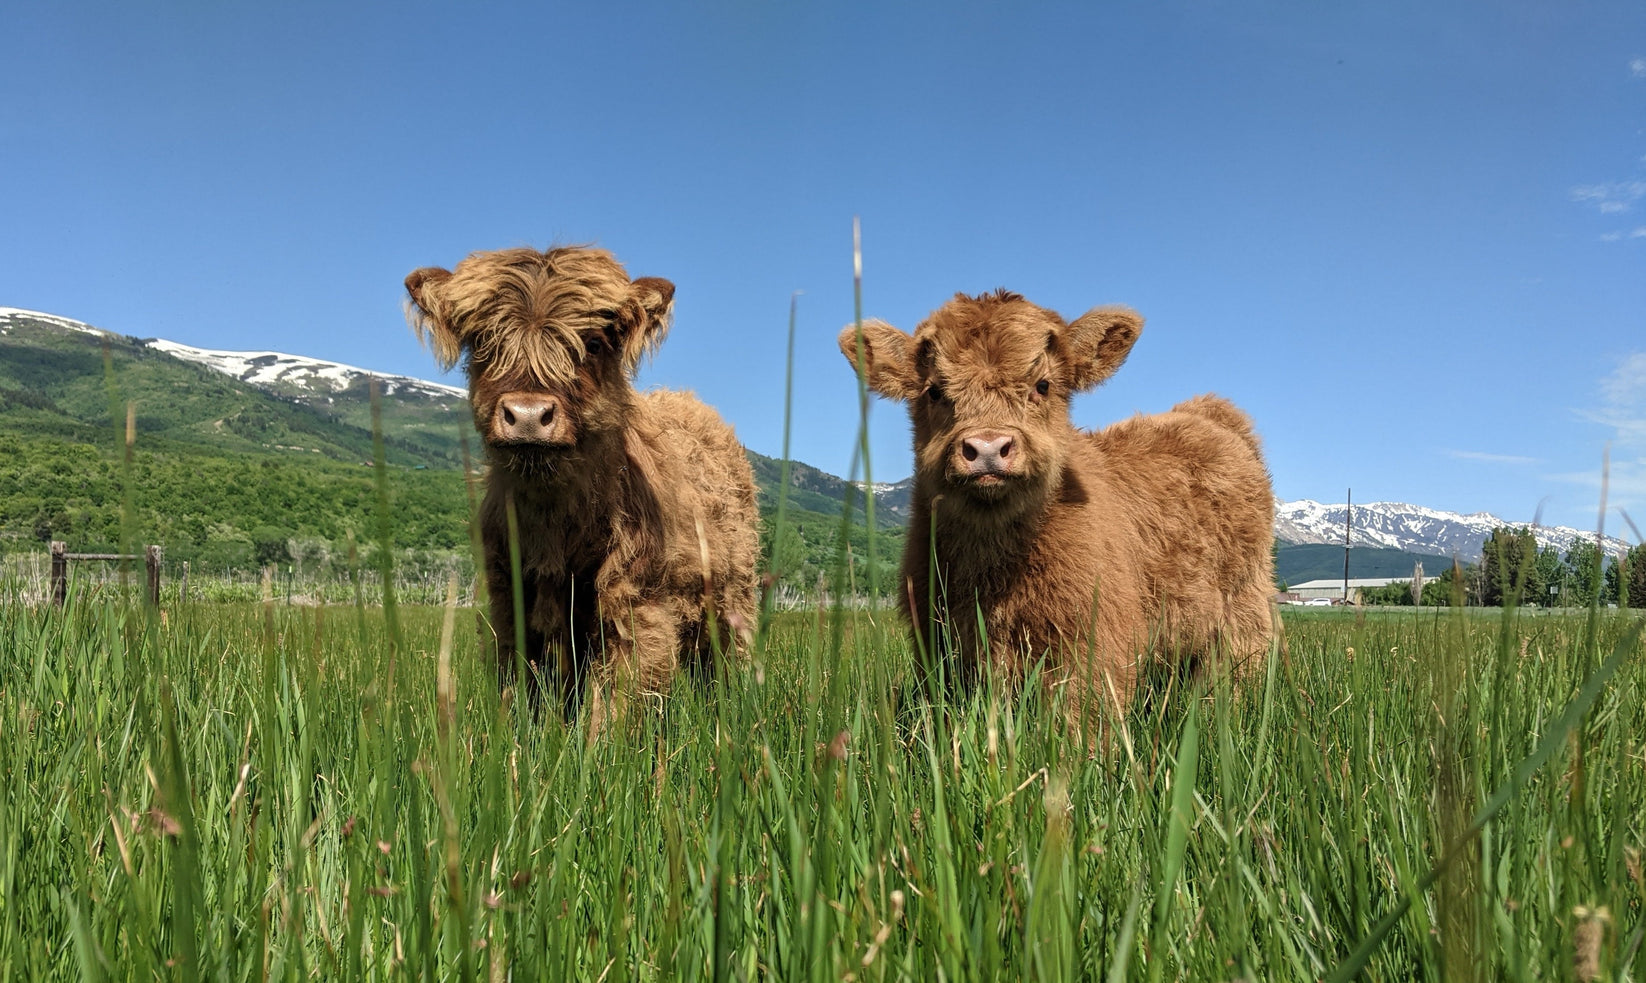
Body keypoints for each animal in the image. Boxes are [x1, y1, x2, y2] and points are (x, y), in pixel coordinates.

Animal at [405, 246, 759, 732]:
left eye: (591, 344)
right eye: (484, 342)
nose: (528, 414)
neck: (555, 522)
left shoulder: (636, 606)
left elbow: (616, 705)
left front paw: (603, 748)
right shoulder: (510, 600)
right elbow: (521, 690)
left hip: (732, 602)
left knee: (722, 667)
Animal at [838, 289, 1275, 733]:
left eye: (1042, 385)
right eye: (934, 391)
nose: (988, 447)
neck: (992, 568)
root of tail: (1206, 413)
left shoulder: (1095, 644)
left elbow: (1082, 725)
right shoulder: (939, 644)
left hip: (1244, 605)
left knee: (1242, 668)